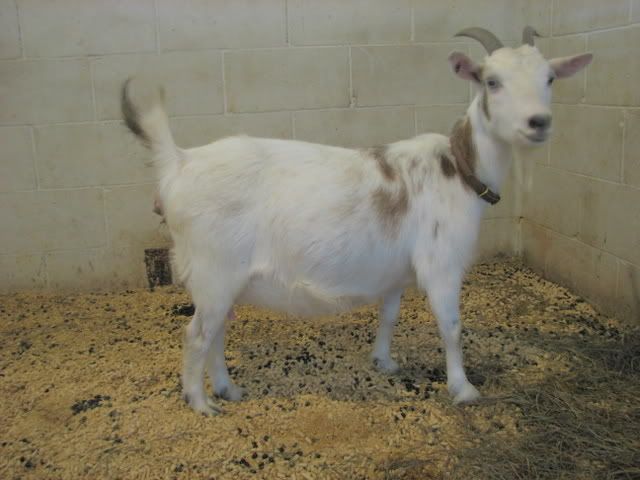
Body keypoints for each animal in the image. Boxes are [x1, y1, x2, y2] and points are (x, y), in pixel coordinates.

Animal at [122, 27, 592, 415]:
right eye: (491, 81)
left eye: (550, 78)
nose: (538, 122)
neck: (459, 168)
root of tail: (179, 162)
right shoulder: (441, 264)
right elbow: (452, 327)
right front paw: (463, 389)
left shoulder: (397, 272)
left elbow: (389, 315)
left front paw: (384, 360)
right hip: (213, 270)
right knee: (197, 334)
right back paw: (201, 403)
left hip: (223, 280)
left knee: (216, 331)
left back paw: (227, 389)